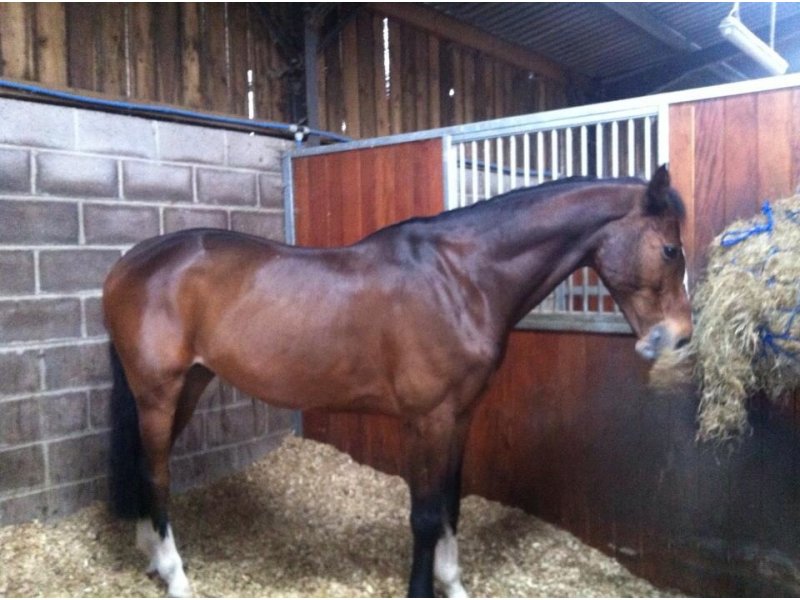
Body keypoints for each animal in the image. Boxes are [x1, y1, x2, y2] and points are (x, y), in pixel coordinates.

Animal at [104, 164, 692, 597]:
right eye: (670, 249)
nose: (680, 337)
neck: (461, 279)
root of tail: (128, 264)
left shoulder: (459, 416)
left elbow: (452, 503)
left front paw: (453, 586)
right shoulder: (427, 420)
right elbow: (426, 514)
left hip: (189, 385)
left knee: (146, 465)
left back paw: (151, 558)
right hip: (159, 393)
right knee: (157, 472)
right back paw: (176, 576)